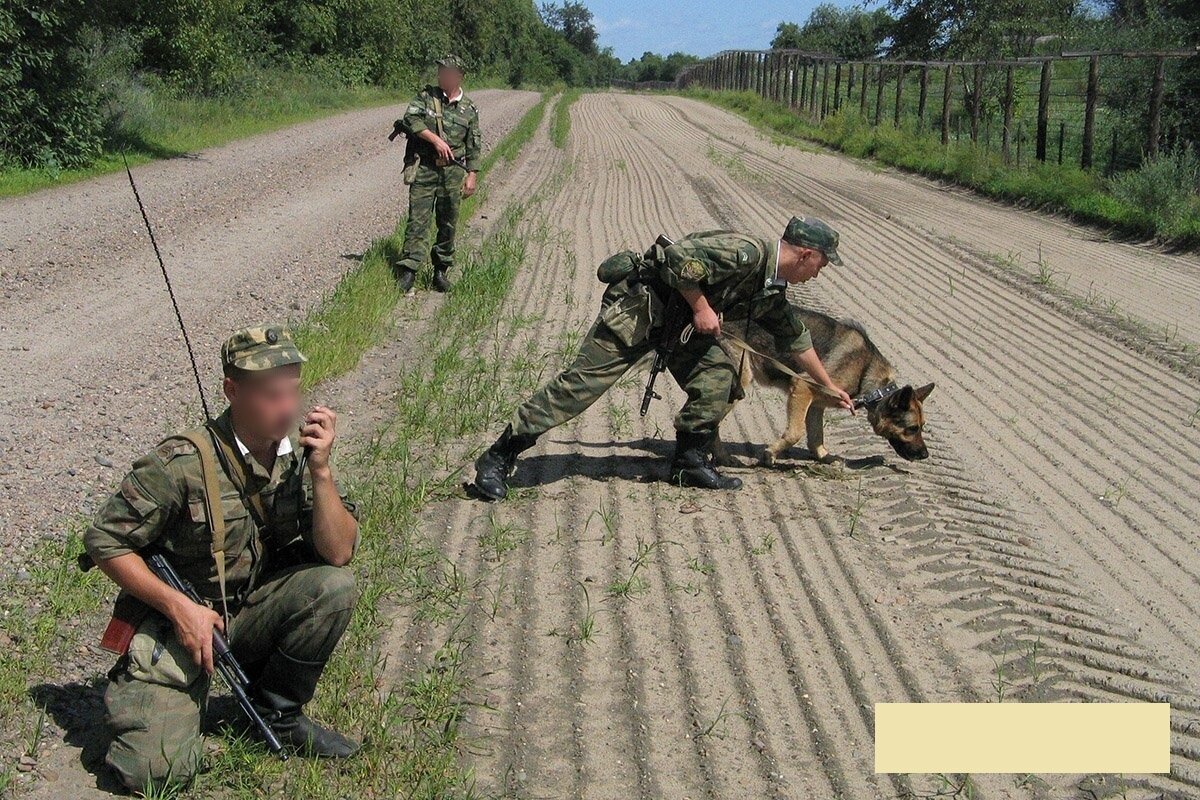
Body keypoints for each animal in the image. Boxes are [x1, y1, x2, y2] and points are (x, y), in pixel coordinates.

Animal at [715, 309, 931, 465]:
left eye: (922, 427)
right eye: (912, 428)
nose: (925, 455)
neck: (867, 375)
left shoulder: (816, 405)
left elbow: (816, 436)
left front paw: (824, 456)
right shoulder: (802, 388)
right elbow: (795, 433)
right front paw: (770, 454)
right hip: (740, 382)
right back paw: (722, 457)